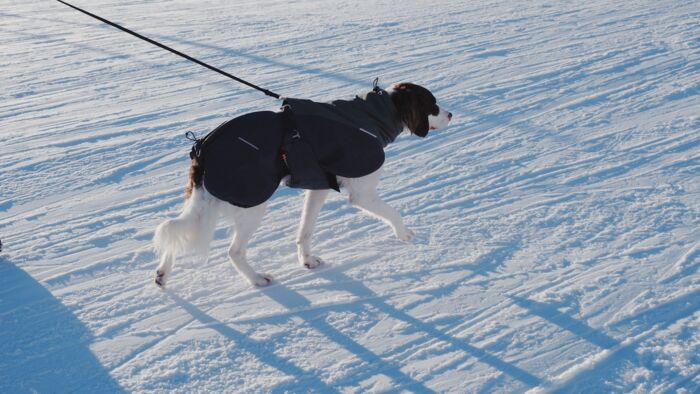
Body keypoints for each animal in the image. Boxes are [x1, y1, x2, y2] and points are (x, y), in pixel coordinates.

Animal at [152, 82, 454, 286]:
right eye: (433, 104)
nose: (451, 115)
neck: (370, 117)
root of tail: (203, 150)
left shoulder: (318, 188)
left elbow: (305, 230)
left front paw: (306, 260)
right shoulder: (362, 193)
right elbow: (394, 212)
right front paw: (405, 234)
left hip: (209, 202)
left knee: (175, 231)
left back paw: (163, 273)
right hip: (252, 203)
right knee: (233, 250)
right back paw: (256, 278)